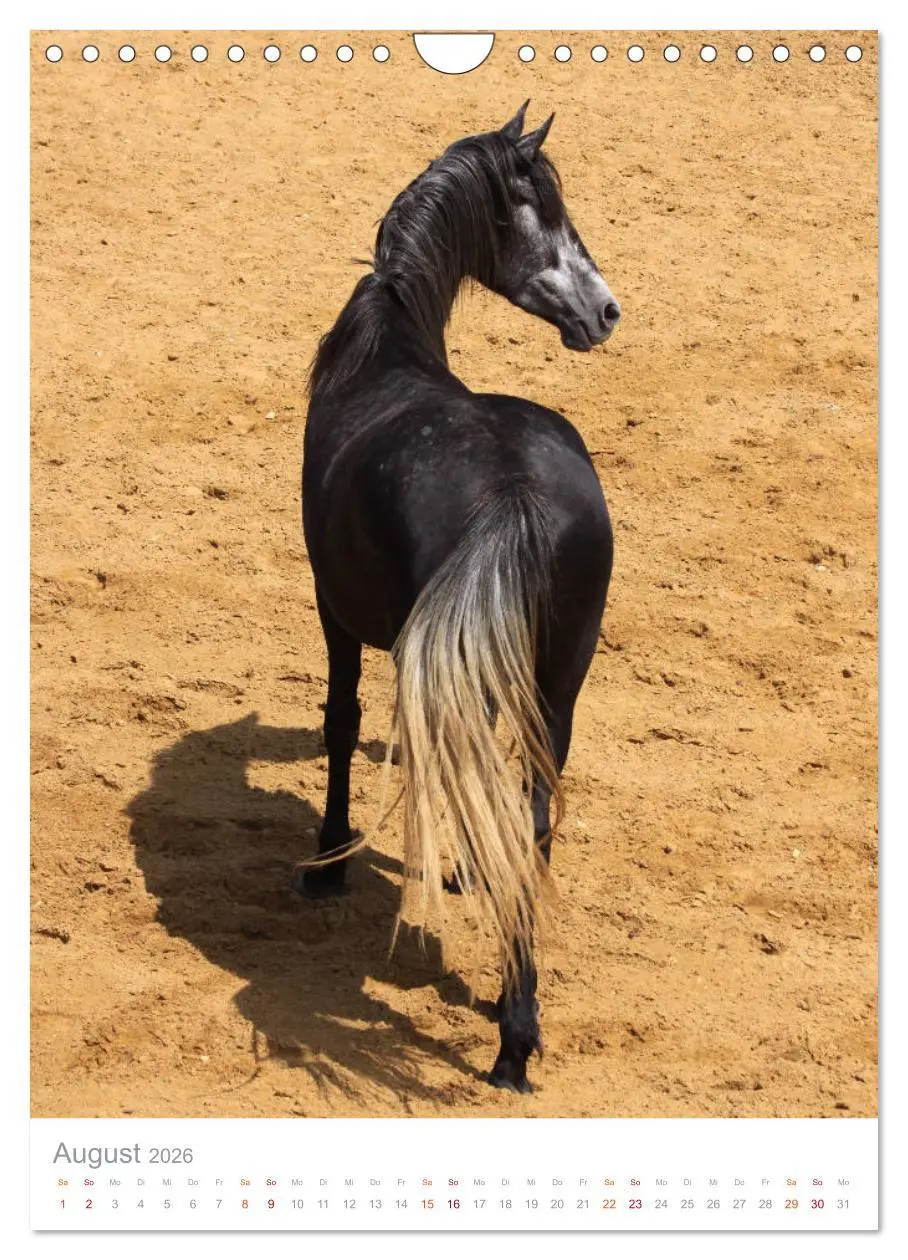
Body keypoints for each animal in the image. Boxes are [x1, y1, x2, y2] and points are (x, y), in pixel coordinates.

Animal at [295, 103, 618, 1093]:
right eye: (540, 208)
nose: (605, 311)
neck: (386, 346)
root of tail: (513, 495)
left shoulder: (332, 607)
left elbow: (340, 723)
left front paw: (325, 863)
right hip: (560, 682)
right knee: (535, 807)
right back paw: (518, 1016)